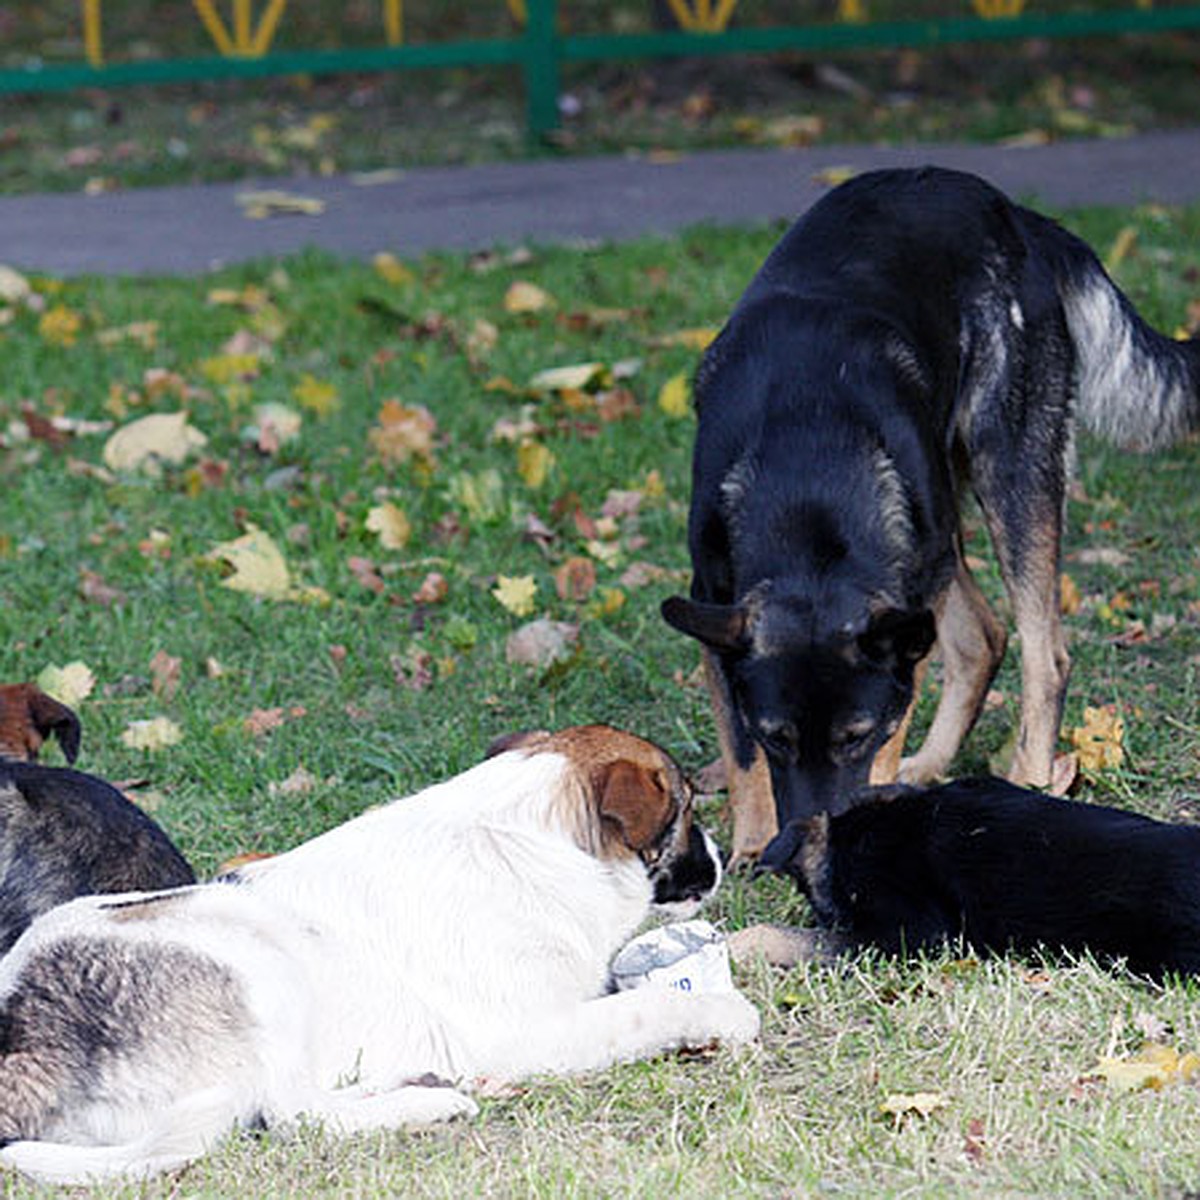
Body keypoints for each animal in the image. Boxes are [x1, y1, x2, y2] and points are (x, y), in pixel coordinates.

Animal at [662, 164, 1200, 868]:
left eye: (854, 737)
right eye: (780, 739)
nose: (799, 844)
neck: (807, 463)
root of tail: (1017, 215)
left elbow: (896, 719)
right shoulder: (719, 603)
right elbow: (740, 746)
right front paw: (752, 838)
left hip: (1009, 479)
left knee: (1044, 654)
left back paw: (1030, 778)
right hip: (942, 531)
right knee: (983, 638)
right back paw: (932, 767)